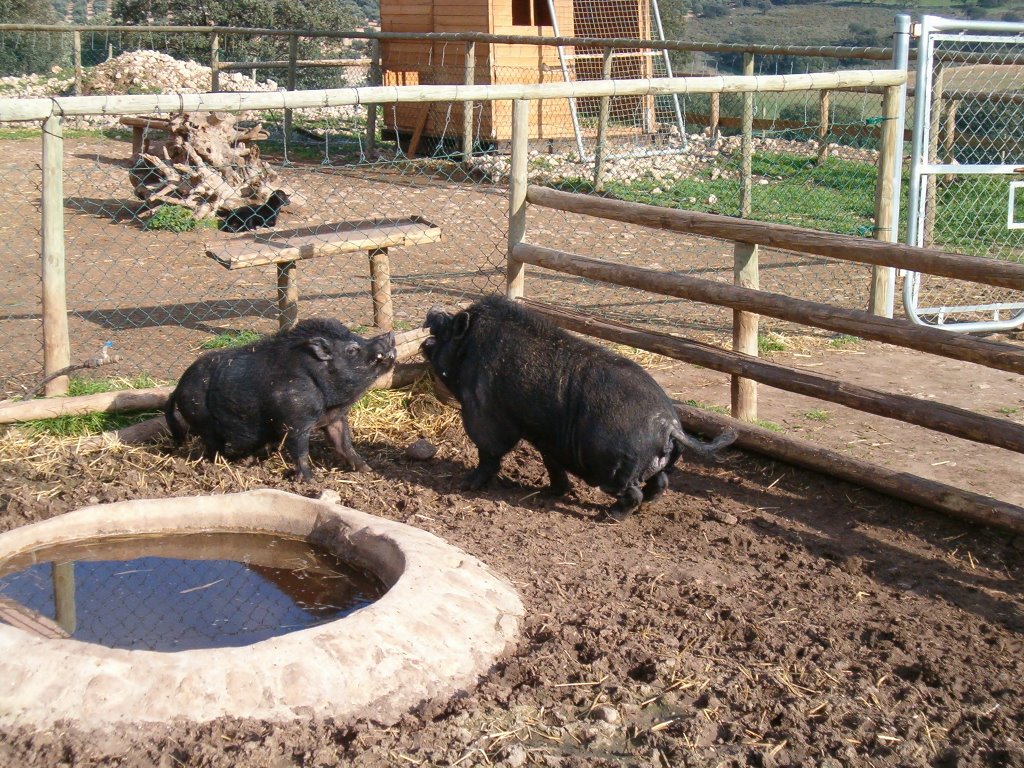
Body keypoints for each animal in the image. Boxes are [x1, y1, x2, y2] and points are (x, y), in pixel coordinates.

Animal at [165, 319, 393, 481]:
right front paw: (311, 481)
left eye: (358, 337)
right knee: (212, 448)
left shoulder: (335, 418)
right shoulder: (294, 420)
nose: (389, 334)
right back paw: (221, 465)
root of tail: (177, 388)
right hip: (202, 420)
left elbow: (344, 444)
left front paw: (367, 470)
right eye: (352, 350)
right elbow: (300, 450)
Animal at [423, 296, 737, 520]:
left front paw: (465, 485)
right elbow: (552, 464)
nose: (432, 312)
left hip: (613, 466)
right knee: (659, 484)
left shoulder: (483, 413)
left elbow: (489, 454)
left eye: (448, 328)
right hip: (651, 464)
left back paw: (611, 516)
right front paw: (554, 491)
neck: (468, 349)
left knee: (632, 493)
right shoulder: (547, 440)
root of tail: (669, 426)